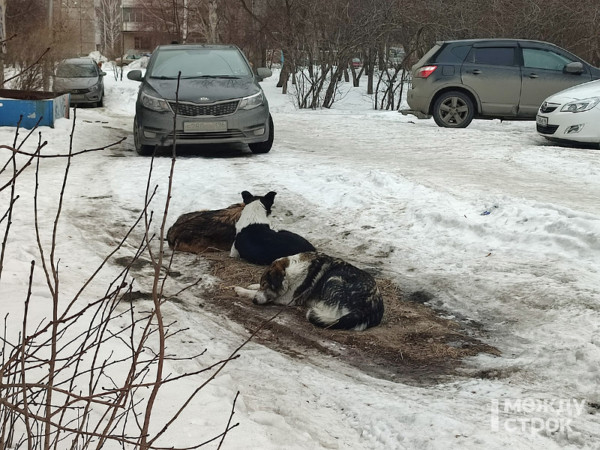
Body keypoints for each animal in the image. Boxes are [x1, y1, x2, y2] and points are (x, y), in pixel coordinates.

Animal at [234, 250, 384, 330]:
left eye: (266, 285)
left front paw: (241, 290)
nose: (254, 301)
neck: (290, 272)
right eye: (262, 284)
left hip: (335, 279)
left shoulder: (288, 299)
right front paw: (252, 285)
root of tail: (371, 307)